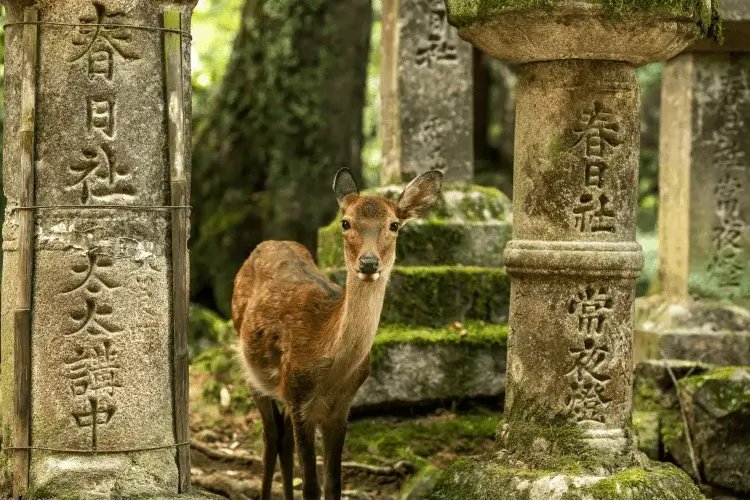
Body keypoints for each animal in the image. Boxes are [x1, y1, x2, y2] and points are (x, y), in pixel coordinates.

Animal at [232, 169, 444, 500]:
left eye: (394, 225)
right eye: (345, 222)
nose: (368, 263)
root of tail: (269, 242)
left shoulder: (341, 407)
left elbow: (333, 485)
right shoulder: (299, 397)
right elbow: (311, 486)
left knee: (283, 438)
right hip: (250, 367)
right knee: (271, 435)